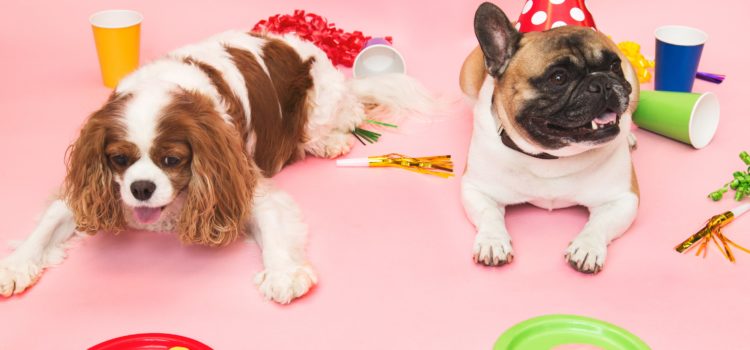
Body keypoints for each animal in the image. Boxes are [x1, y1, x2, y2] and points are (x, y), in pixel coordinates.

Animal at [0, 30, 434, 304]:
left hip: (319, 106)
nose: (140, 188)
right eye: (119, 160)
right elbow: (51, 218)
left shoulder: (240, 179)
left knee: (347, 114)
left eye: (171, 160)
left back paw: (331, 140)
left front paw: (283, 273)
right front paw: (16, 265)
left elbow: (274, 227)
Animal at [462, 2, 644, 274]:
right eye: (558, 78)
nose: (601, 82)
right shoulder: (476, 188)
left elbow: (600, 224)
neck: (551, 156)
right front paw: (493, 242)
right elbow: (488, 213)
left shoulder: (622, 198)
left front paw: (587, 247)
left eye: (613, 66)